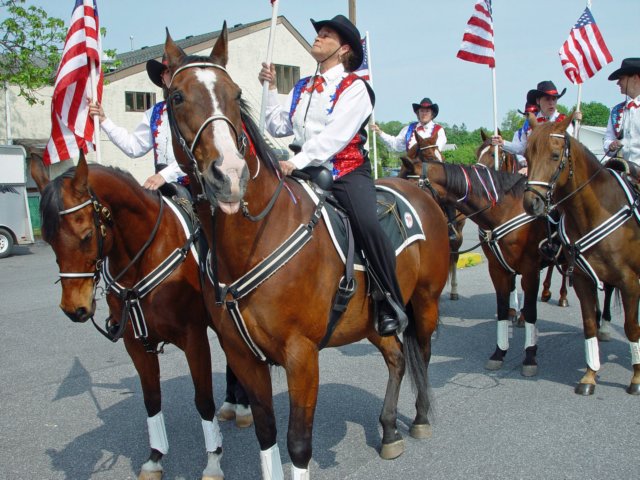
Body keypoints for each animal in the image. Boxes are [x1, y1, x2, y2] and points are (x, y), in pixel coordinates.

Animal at [32, 154, 229, 480]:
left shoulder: (194, 338)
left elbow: (203, 400)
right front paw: (155, 458)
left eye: (87, 235)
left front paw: (213, 460)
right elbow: (151, 400)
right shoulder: (135, 342)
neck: (145, 254)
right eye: (48, 239)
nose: (74, 309)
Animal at [162, 25, 448, 480]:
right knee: (397, 359)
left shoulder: (301, 356)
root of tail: (421, 192)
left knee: (420, 351)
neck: (255, 238)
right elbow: (266, 434)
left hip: (424, 303)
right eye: (176, 97)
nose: (229, 176)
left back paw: (418, 419)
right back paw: (388, 430)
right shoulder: (244, 356)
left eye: (234, 93)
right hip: (375, 320)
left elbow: (298, 443)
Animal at [476, 129, 568, 314]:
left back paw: (562, 297)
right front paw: (512, 309)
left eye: (493, 154)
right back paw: (546, 292)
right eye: (478, 152)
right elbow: (511, 281)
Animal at [524, 114, 640, 396]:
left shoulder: (630, 281)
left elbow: (632, 328)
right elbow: (589, 324)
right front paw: (590, 376)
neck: (595, 211)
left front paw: (636, 378)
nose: (531, 203)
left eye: (555, 155)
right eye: (527, 156)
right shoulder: (583, 279)